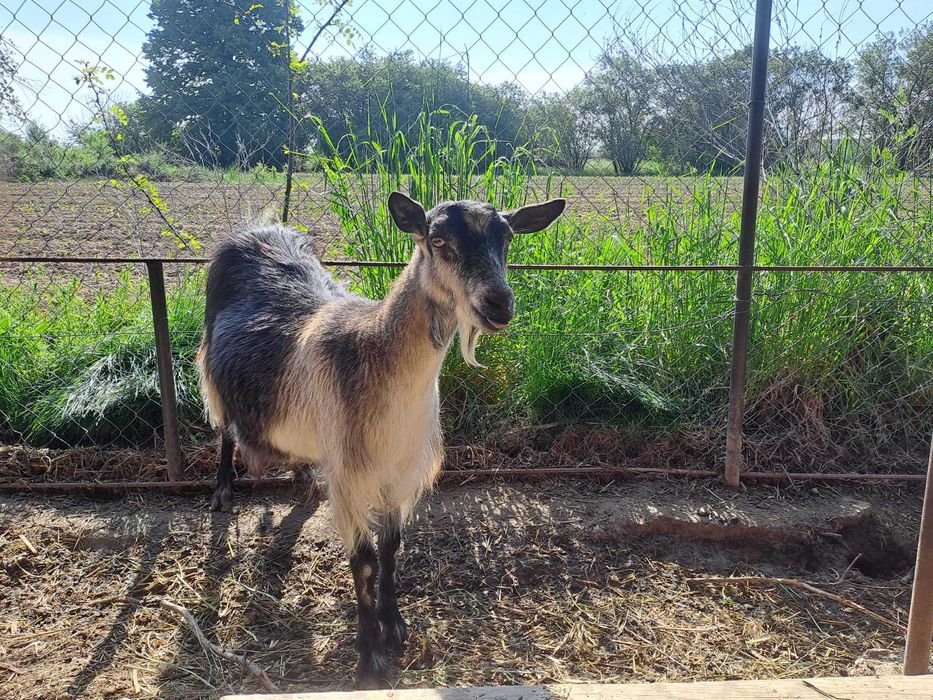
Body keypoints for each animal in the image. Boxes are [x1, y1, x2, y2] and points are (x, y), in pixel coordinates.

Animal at [195, 192, 566, 687]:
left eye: (506, 237)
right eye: (437, 240)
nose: (499, 303)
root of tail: (259, 227)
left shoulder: (399, 469)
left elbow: (391, 550)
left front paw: (395, 626)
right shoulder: (349, 476)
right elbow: (365, 560)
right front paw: (369, 657)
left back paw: (301, 476)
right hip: (213, 370)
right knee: (224, 428)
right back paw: (222, 490)